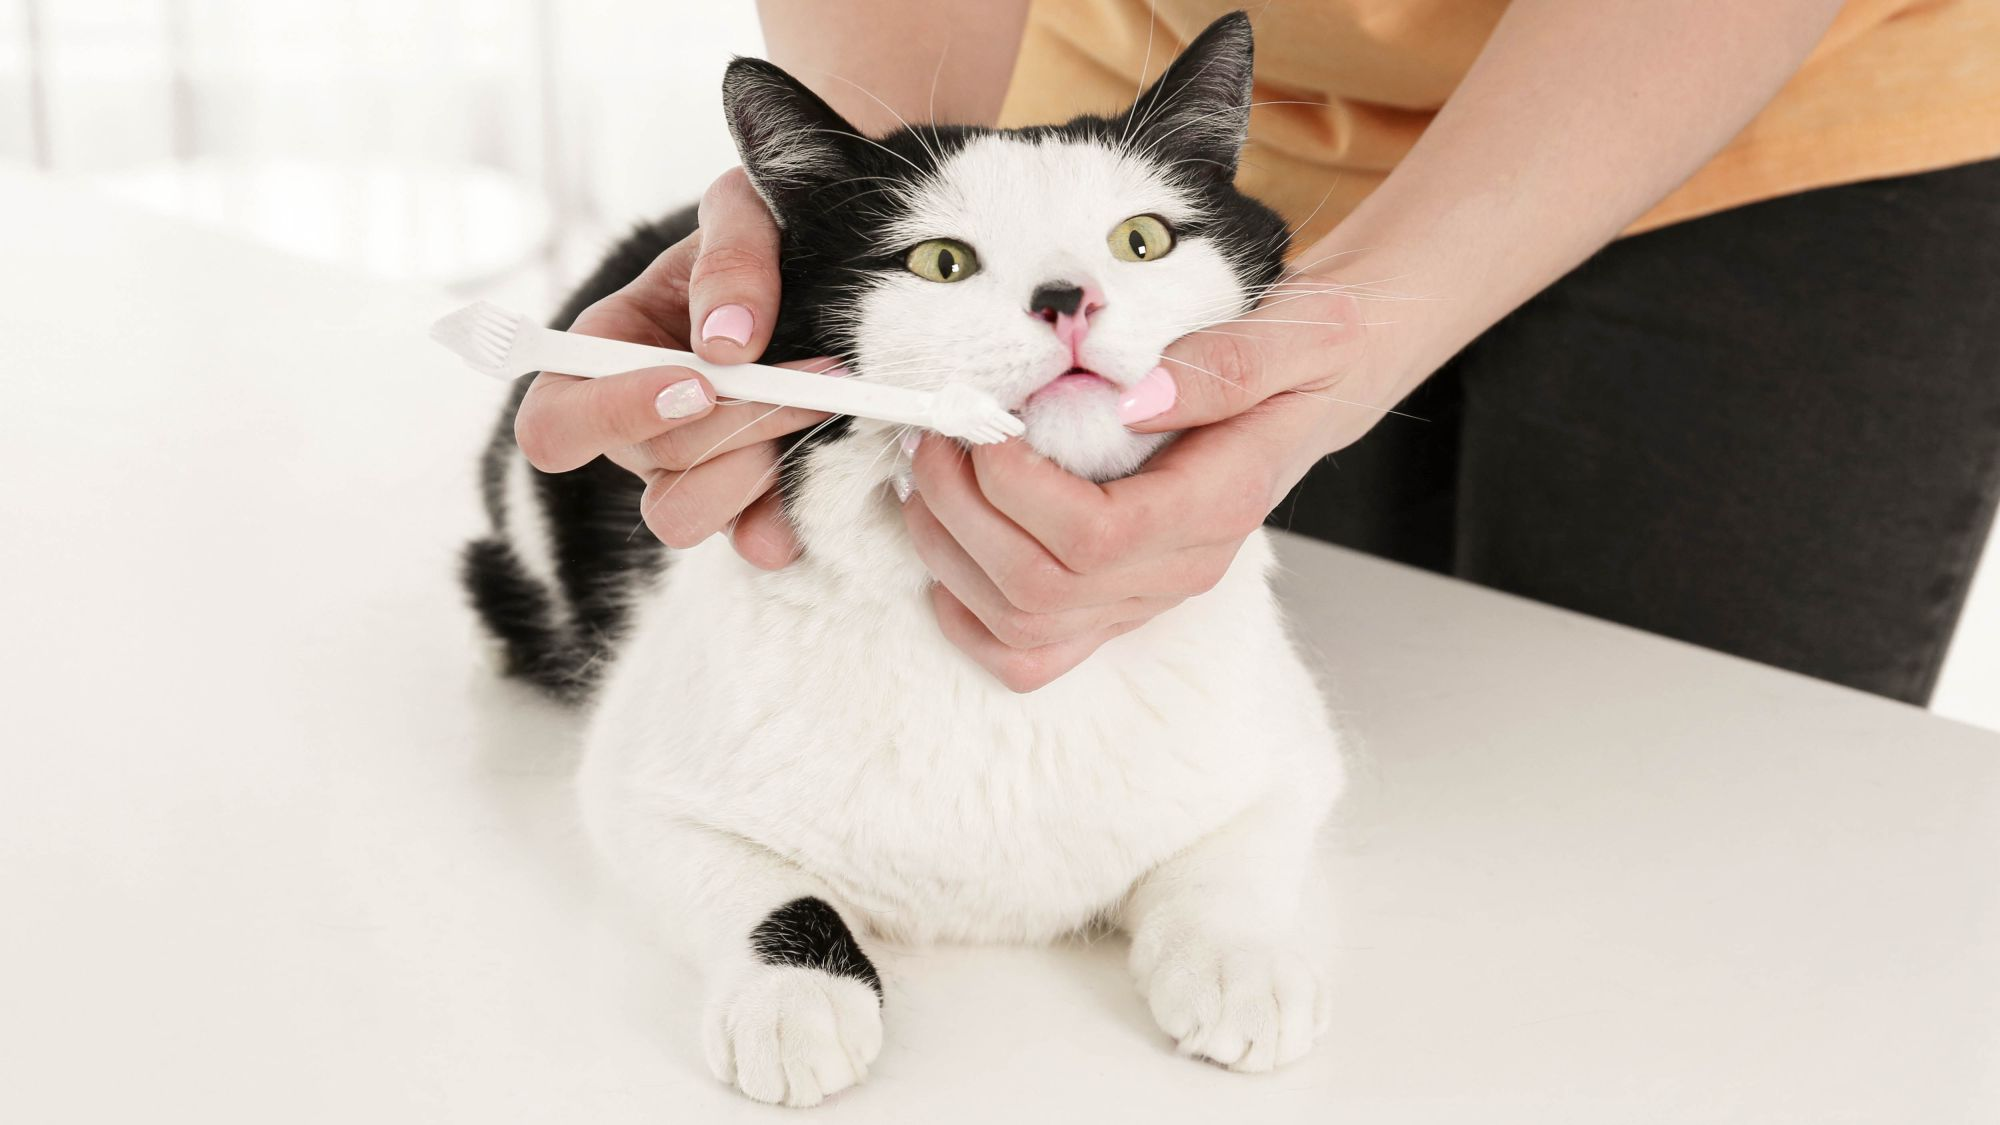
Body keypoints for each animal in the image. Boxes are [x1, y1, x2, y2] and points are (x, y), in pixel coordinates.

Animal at [464, 13, 1344, 1104]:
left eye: (1141, 241)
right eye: (941, 263)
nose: (1068, 299)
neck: (997, 680)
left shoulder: (1293, 757)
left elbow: (1230, 861)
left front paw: (1240, 965)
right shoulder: (637, 791)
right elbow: (763, 886)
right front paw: (793, 999)